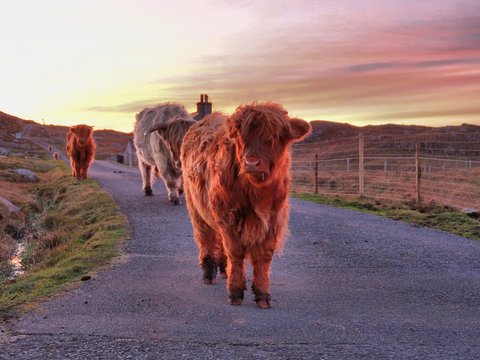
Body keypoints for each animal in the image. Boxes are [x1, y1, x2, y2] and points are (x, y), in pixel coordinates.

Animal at [182, 102, 314, 308]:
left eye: (273, 137)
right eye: (240, 138)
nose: (251, 163)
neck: (256, 193)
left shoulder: (273, 220)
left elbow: (263, 256)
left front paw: (262, 294)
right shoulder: (228, 216)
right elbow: (235, 252)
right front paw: (235, 291)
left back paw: (223, 269)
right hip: (196, 210)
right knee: (206, 239)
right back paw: (209, 272)